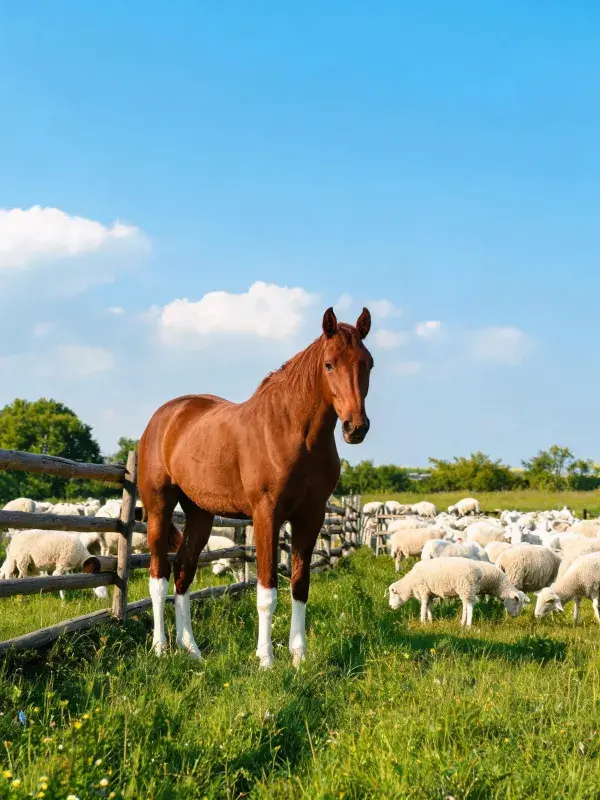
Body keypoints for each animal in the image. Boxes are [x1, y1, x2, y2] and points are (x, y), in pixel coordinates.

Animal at [137, 306, 373, 667]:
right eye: (329, 364)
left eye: (368, 363)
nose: (355, 427)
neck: (294, 433)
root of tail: (163, 417)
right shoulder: (266, 515)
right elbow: (266, 590)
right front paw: (266, 659)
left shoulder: (311, 517)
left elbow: (299, 585)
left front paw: (299, 657)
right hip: (159, 509)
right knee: (158, 577)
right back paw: (161, 647)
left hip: (200, 514)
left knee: (183, 571)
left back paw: (191, 650)